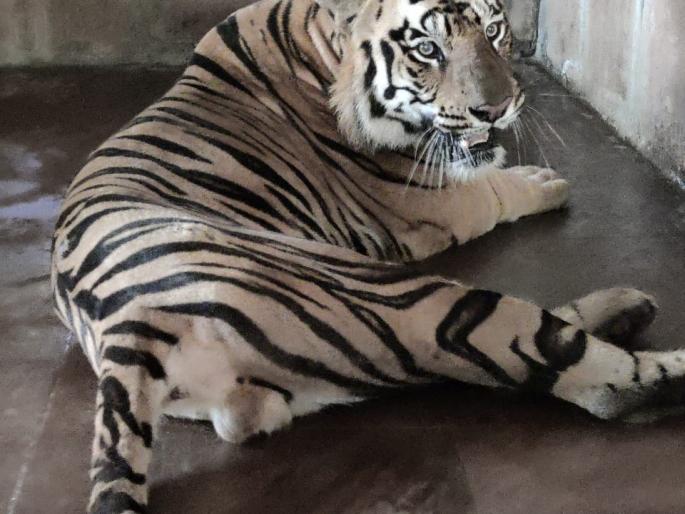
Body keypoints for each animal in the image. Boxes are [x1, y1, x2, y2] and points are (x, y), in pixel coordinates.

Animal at [50, 0, 678, 512]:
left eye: (494, 31)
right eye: (428, 50)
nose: (497, 110)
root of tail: (124, 332)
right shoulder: (424, 204)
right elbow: (491, 188)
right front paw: (543, 181)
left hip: (321, 373)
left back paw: (629, 309)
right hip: (394, 294)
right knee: (587, 374)